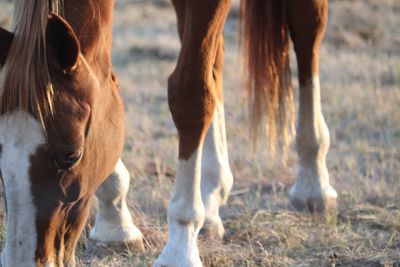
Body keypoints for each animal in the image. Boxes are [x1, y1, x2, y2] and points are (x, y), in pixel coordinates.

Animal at [0, 0, 338, 267]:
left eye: (71, 156)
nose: (22, 260)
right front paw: (116, 221)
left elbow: (191, 94)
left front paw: (180, 249)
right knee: (215, 60)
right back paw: (212, 193)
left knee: (308, 30)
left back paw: (313, 182)